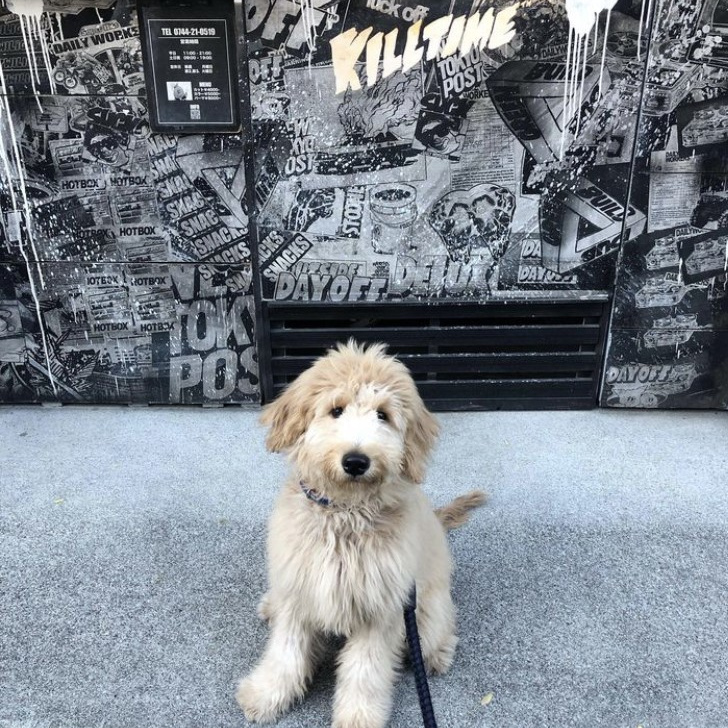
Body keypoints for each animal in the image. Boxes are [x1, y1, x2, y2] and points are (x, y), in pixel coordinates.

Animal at [236, 340, 484, 728]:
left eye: (383, 415)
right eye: (335, 410)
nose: (356, 461)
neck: (345, 513)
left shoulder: (381, 610)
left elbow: (365, 672)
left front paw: (357, 718)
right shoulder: (299, 590)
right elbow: (285, 652)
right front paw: (266, 694)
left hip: (427, 613)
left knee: (439, 630)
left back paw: (439, 654)